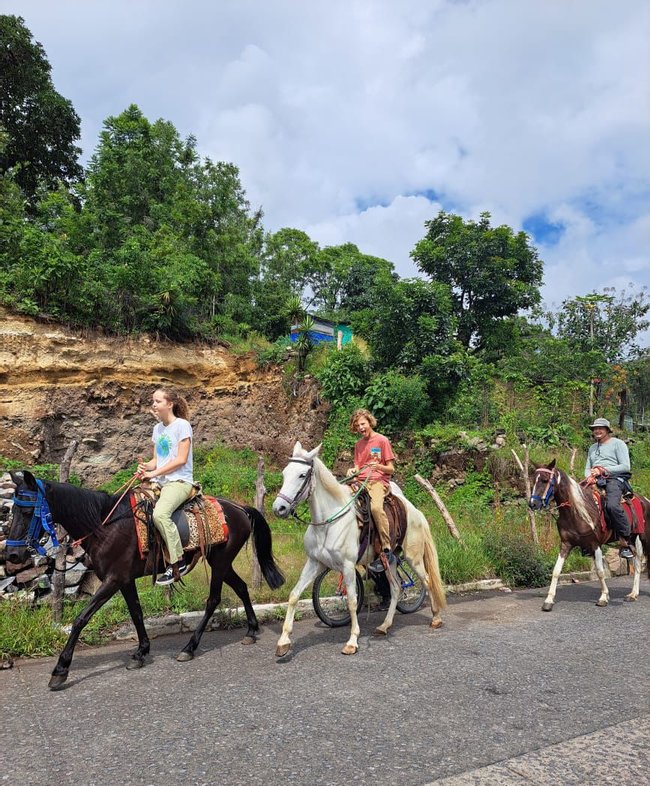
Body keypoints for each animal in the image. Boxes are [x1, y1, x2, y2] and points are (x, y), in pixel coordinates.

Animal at [5, 472, 284, 688]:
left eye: (27, 511)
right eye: (13, 509)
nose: (12, 555)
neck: (103, 526)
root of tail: (239, 509)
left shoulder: (113, 580)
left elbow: (81, 618)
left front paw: (60, 670)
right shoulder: (124, 580)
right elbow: (136, 613)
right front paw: (141, 652)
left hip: (221, 562)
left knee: (213, 600)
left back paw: (189, 648)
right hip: (221, 563)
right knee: (242, 587)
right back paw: (250, 630)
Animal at [270, 440, 446, 656]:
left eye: (302, 475)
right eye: (285, 473)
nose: (279, 508)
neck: (328, 522)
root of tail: (416, 513)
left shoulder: (347, 566)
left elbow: (352, 602)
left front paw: (352, 642)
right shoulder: (314, 563)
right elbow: (294, 595)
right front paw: (283, 641)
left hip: (413, 558)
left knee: (427, 581)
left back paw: (436, 618)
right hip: (390, 560)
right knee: (396, 587)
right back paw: (384, 626)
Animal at [528, 462, 648, 608]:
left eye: (545, 480)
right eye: (533, 480)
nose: (533, 504)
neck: (576, 512)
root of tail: (645, 500)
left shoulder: (595, 544)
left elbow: (600, 572)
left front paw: (603, 597)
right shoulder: (566, 544)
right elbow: (556, 571)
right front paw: (549, 600)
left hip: (642, 538)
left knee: (638, 563)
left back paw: (633, 594)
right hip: (631, 540)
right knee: (636, 563)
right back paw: (633, 594)